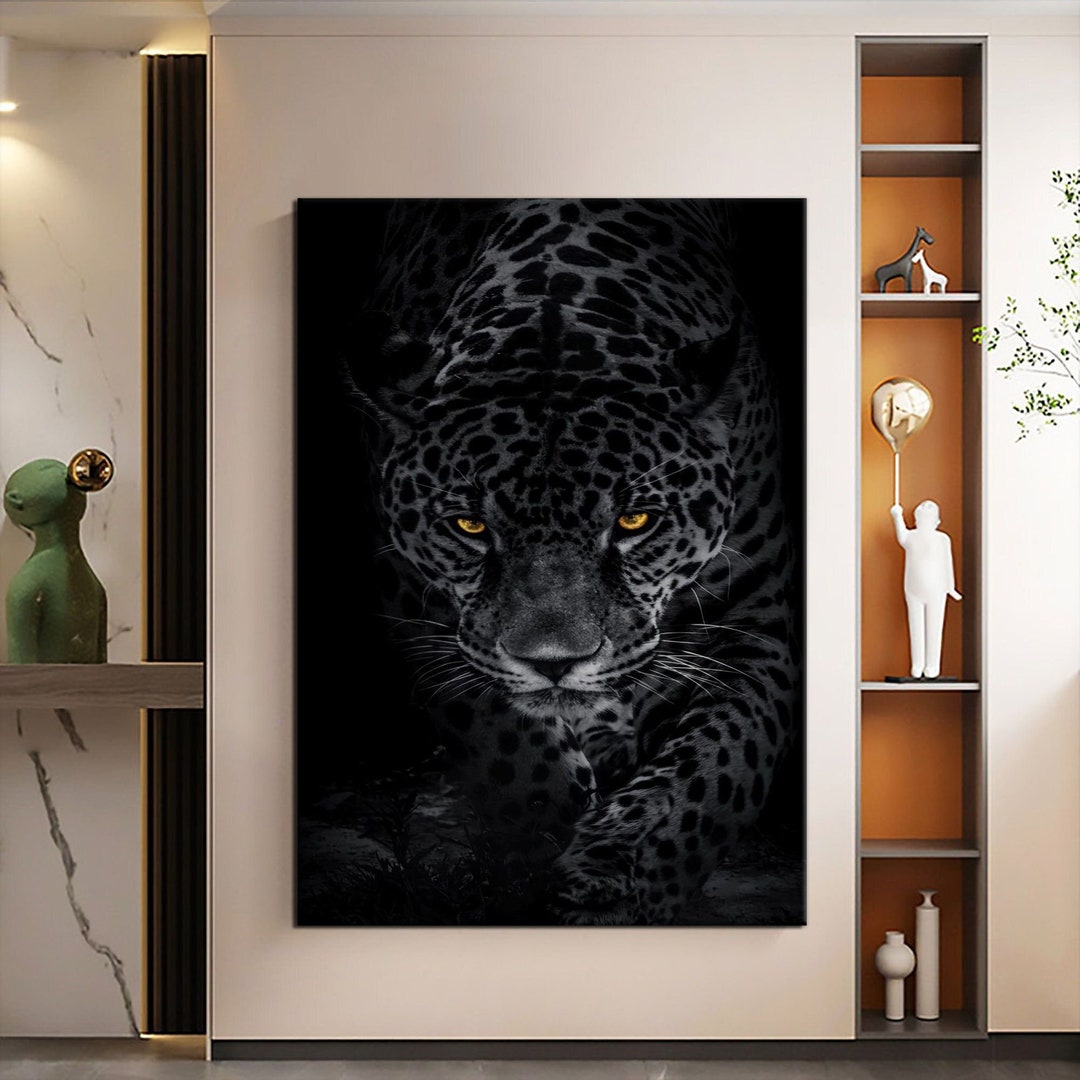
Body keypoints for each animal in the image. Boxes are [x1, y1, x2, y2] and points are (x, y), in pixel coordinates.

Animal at [341, 198, 799, 925]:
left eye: (635, 522)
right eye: (469, 526)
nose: (555, 662)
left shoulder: (751, 630)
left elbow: (705, 777)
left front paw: (615, 882)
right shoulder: (414, 605)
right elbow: (508, 745)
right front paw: (536, 852)